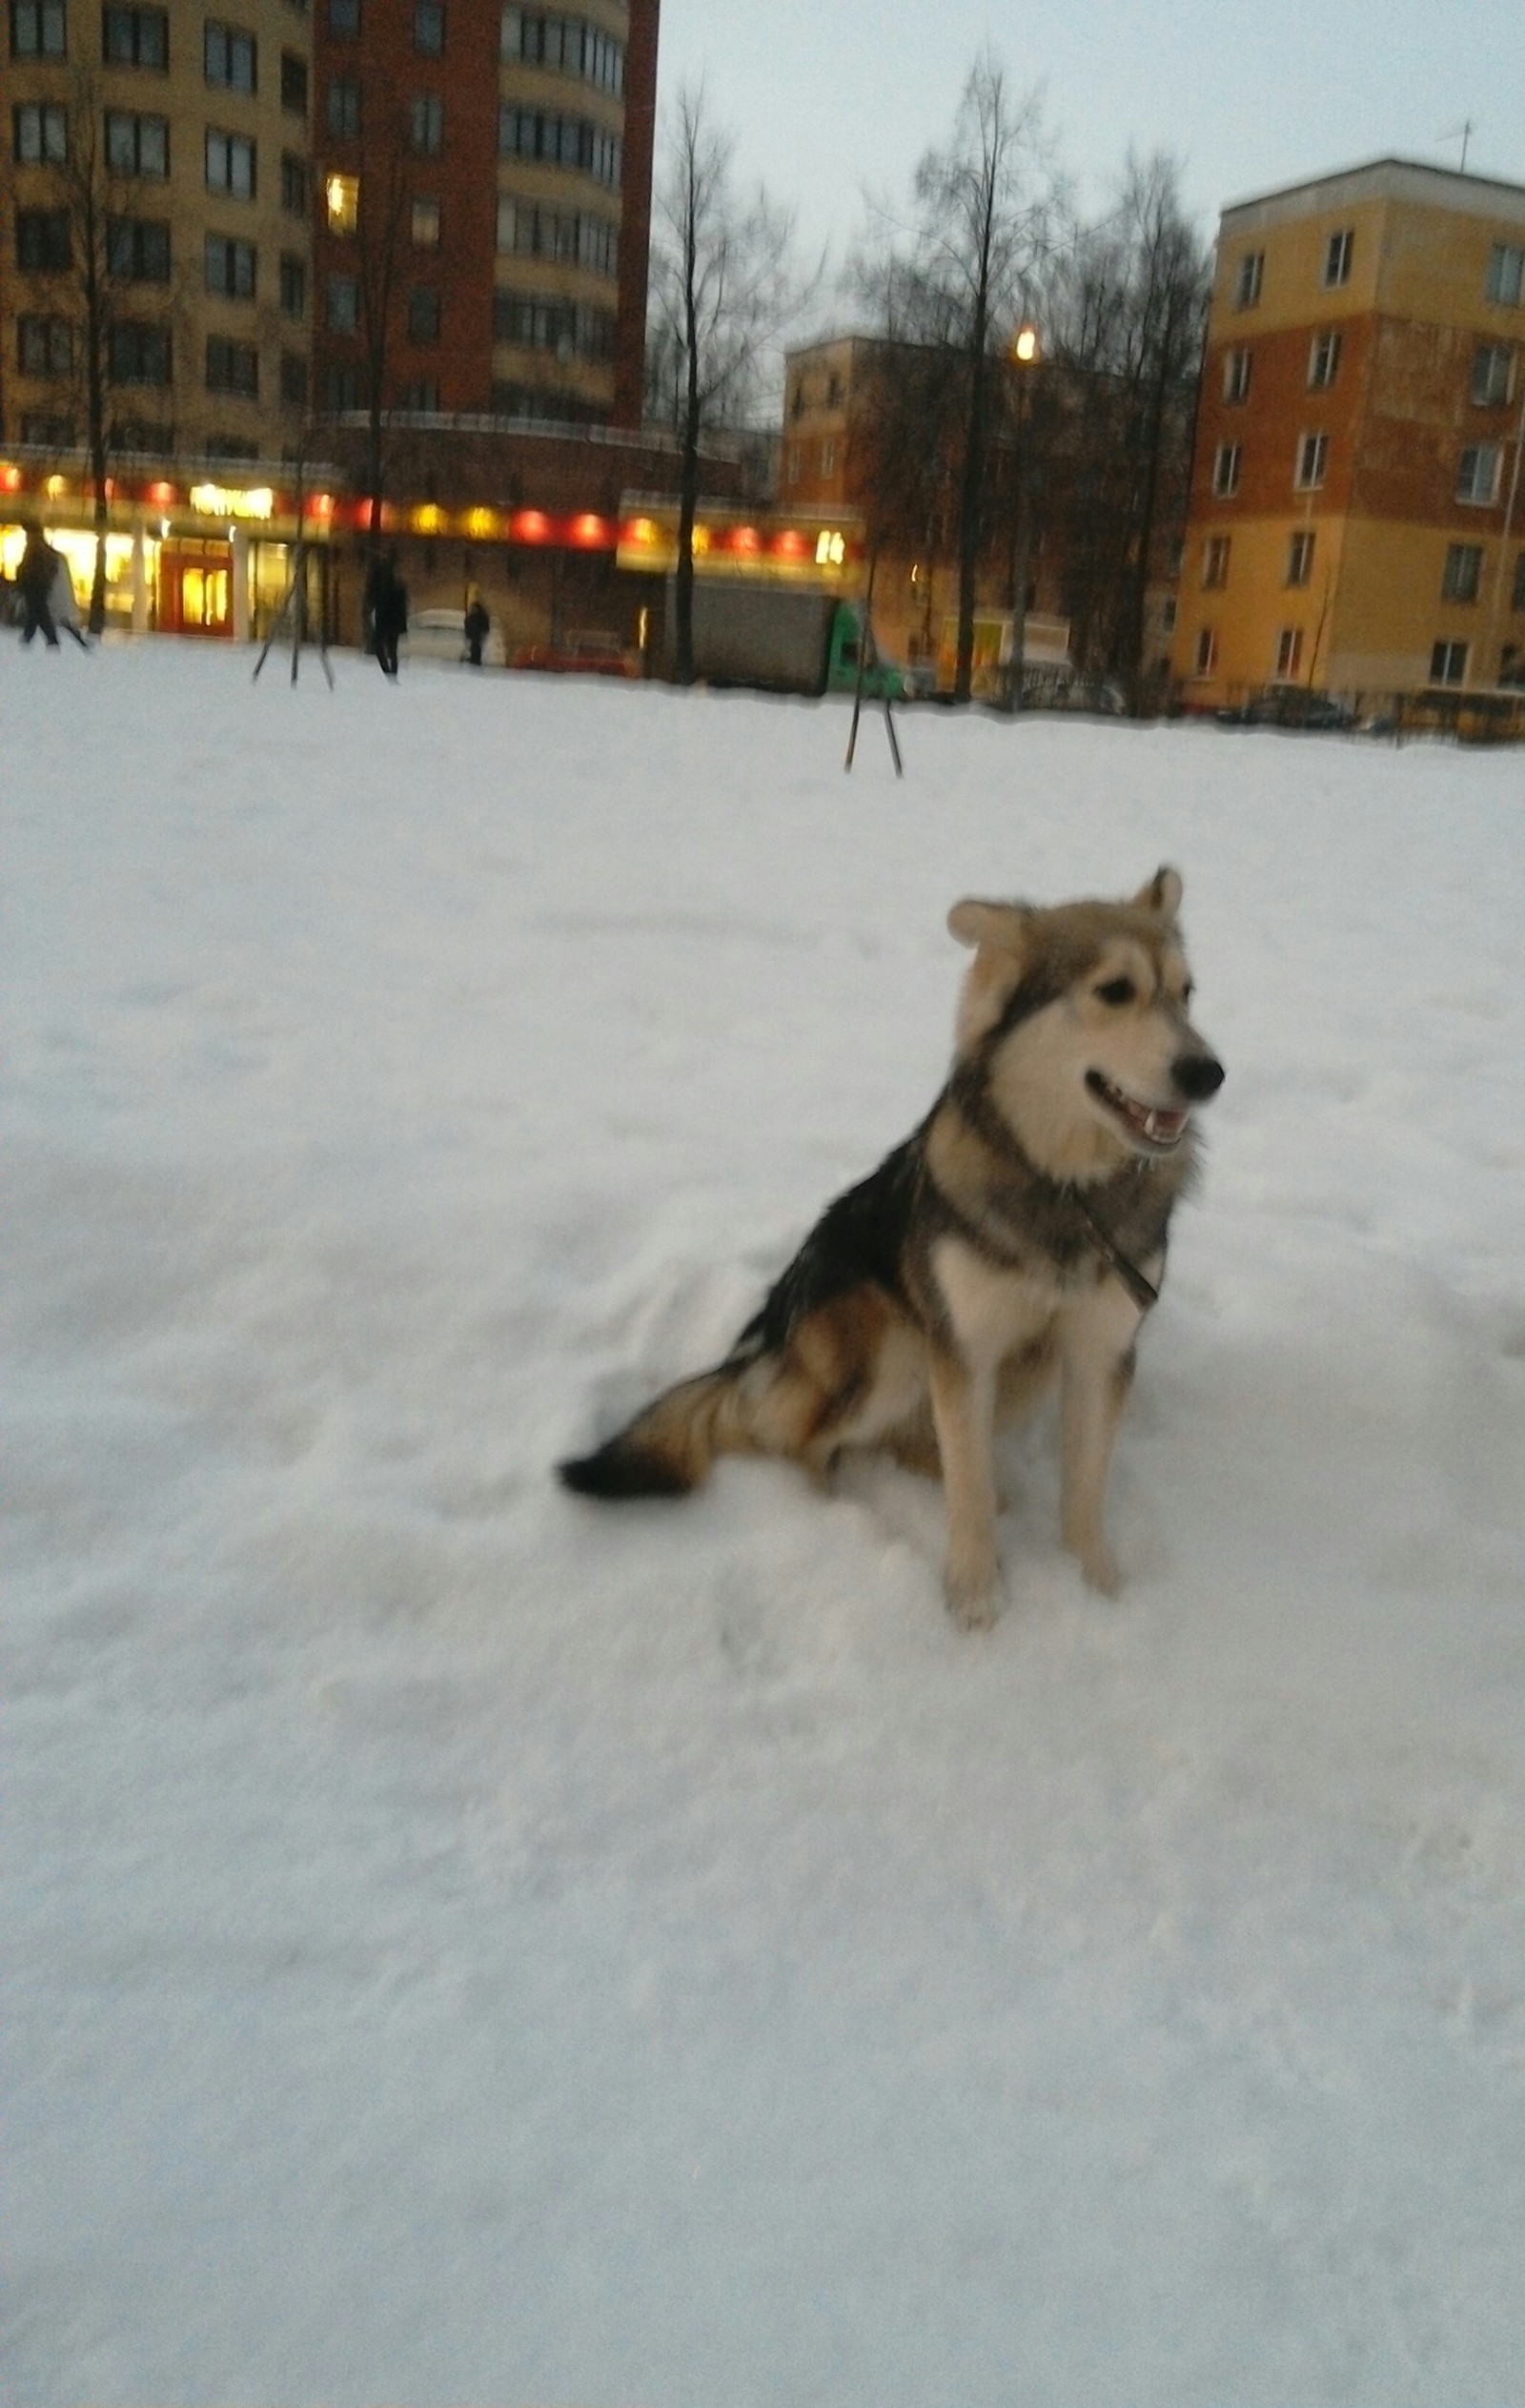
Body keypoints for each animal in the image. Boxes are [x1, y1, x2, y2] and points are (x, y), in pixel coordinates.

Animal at [560, 862, 1224, 1618]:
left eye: (1187, 993)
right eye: (1115, 991)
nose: (1209, 1073)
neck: (1065, 1187)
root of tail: (763, 1342)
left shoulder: (1098, 1351)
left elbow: (1082, 1489)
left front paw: (1098, 1590)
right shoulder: (962, 1346)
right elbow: (966, 1486)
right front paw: (974, 1601)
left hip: (1025, 1362)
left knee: (912, 1442)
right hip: (896, 1342)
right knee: (790, 1439)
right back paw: (825, 1518)